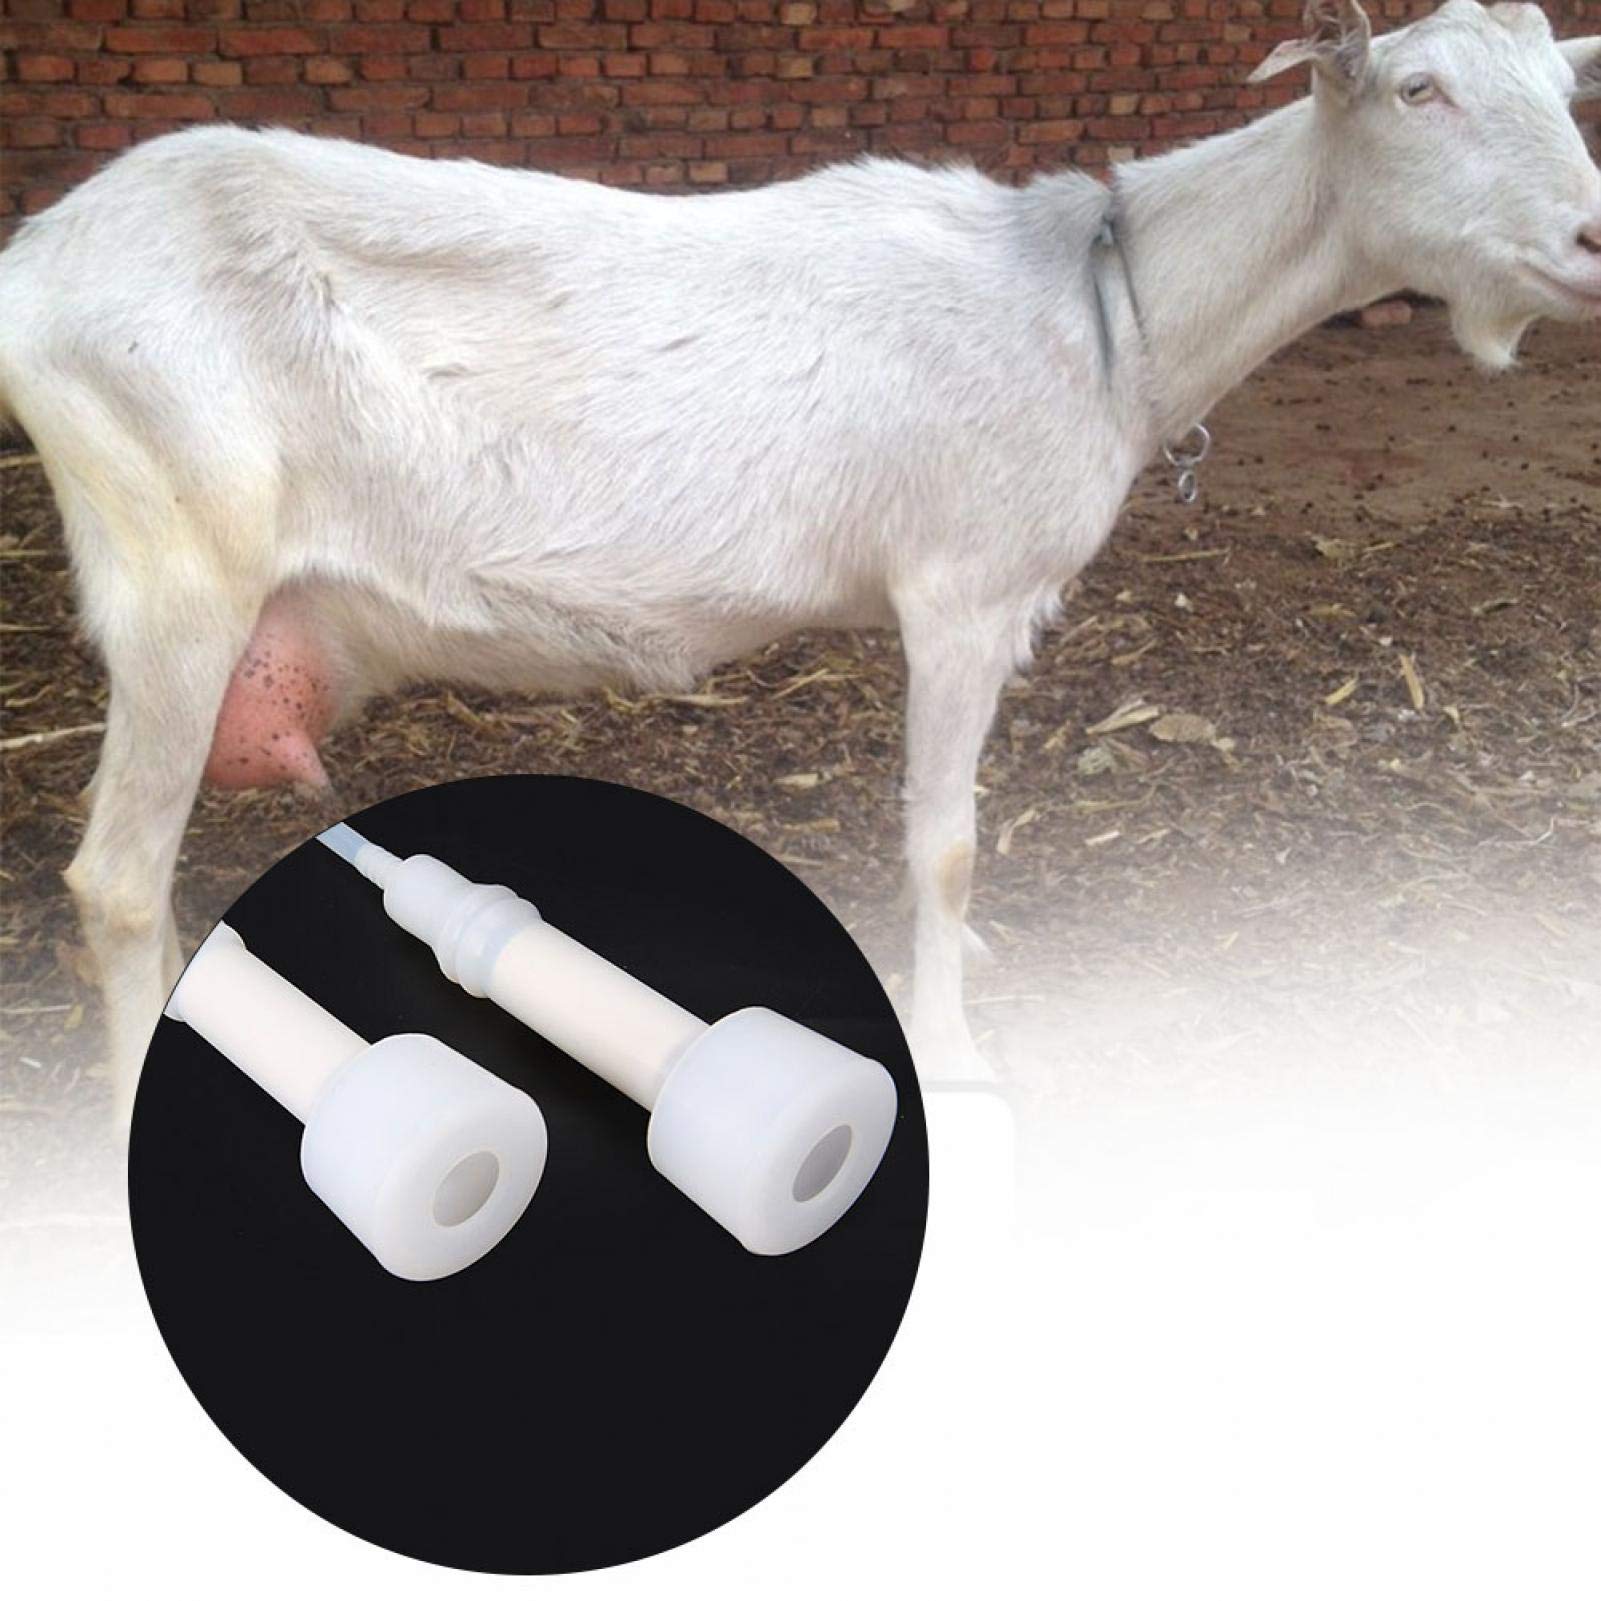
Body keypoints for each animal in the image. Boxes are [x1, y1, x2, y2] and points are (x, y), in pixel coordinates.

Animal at [0, 0, 1597, 1131]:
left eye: (1562, 91)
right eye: (1418, 90)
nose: (1590, 236)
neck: (1101, 307)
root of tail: (37, 266)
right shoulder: (961, 590)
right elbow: (944, 842)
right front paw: (952, 1042)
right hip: (177, 567)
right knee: (117, 880)